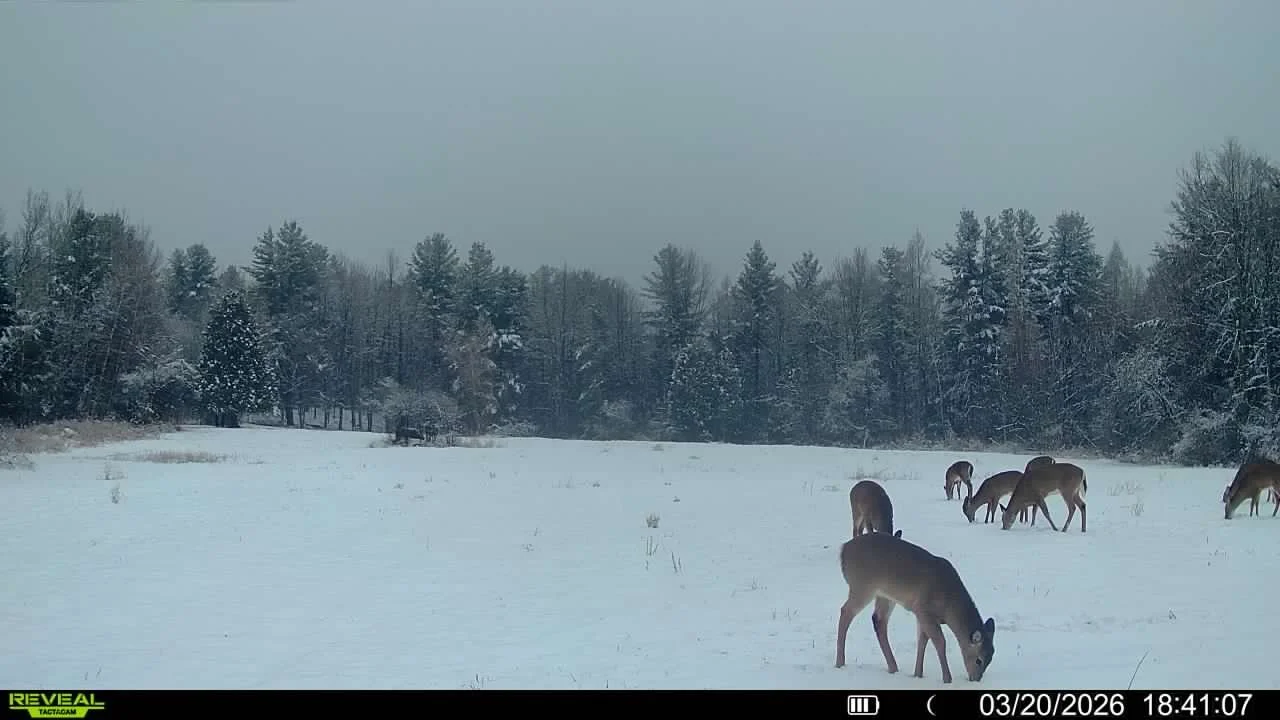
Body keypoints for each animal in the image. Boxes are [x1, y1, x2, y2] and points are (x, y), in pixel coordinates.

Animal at [835, 531, 996, 684]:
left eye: (991, 658)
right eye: (979, 660)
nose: (976, 679)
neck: (948, 605)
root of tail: (843, 550)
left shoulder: (923, 615)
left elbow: (922, 641)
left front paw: (918, 674)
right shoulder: (923, 609)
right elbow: (940, 642)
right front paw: (947, 679)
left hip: (885, 595)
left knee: (879, 620)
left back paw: (893, 668)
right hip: (862, 585)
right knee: (846, 611)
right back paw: (840, 663)